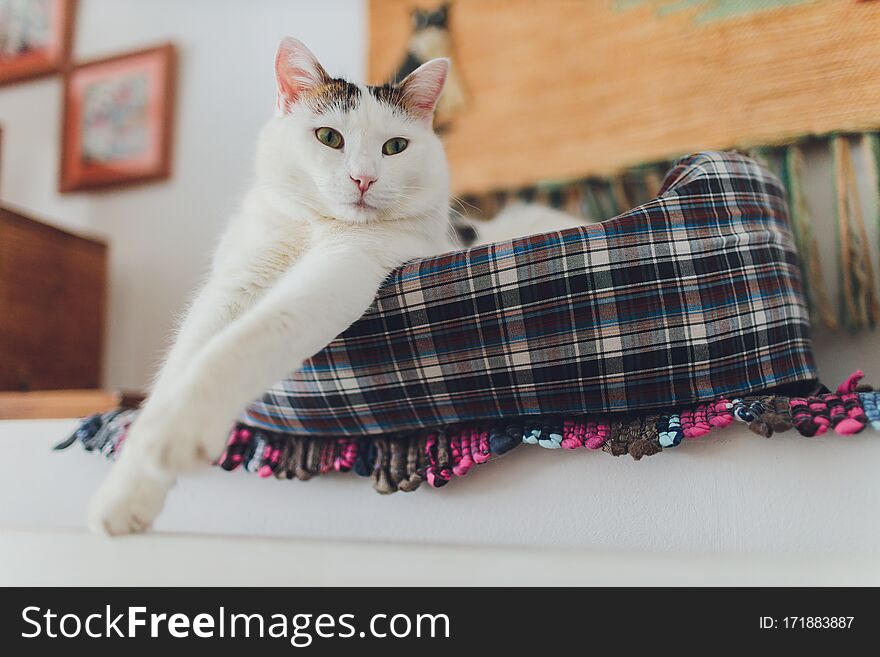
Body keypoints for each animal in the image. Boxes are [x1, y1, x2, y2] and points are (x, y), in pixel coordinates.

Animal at [87, 37, 454, 532]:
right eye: (329, 137)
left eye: (395, 146)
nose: (364, 178)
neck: (316, 227)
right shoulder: (237, 281)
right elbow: (181, 366)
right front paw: (125, 496)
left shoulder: (342, 268)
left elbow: (243, 342)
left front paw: (174, 433)